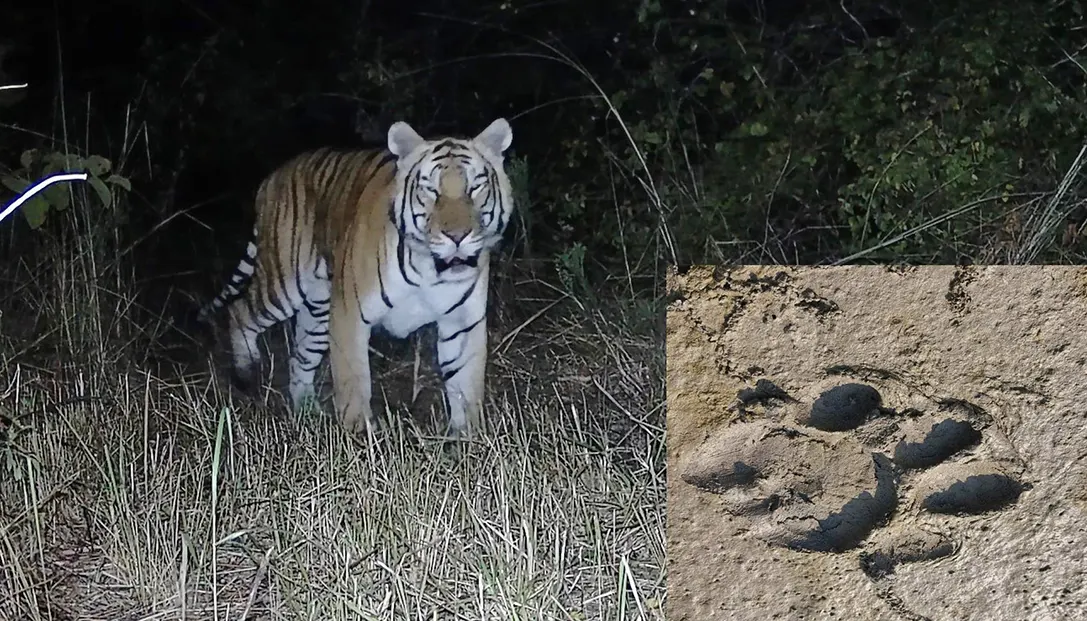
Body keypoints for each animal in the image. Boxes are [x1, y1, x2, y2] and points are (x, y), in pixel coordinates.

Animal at [196, 118, 515, 437]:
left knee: (300, 357)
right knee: (240, 311)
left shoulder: (463, 322)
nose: (458, 236)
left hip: (318, 309)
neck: (431, 268)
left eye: (475, 186)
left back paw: (307, 413)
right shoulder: (350, 314)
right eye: (430, 190)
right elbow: (354, 381)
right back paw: (247, 371)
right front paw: (359, 436)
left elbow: (466, 387)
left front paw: (468, 438)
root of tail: (273, 177)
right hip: (284, 283)